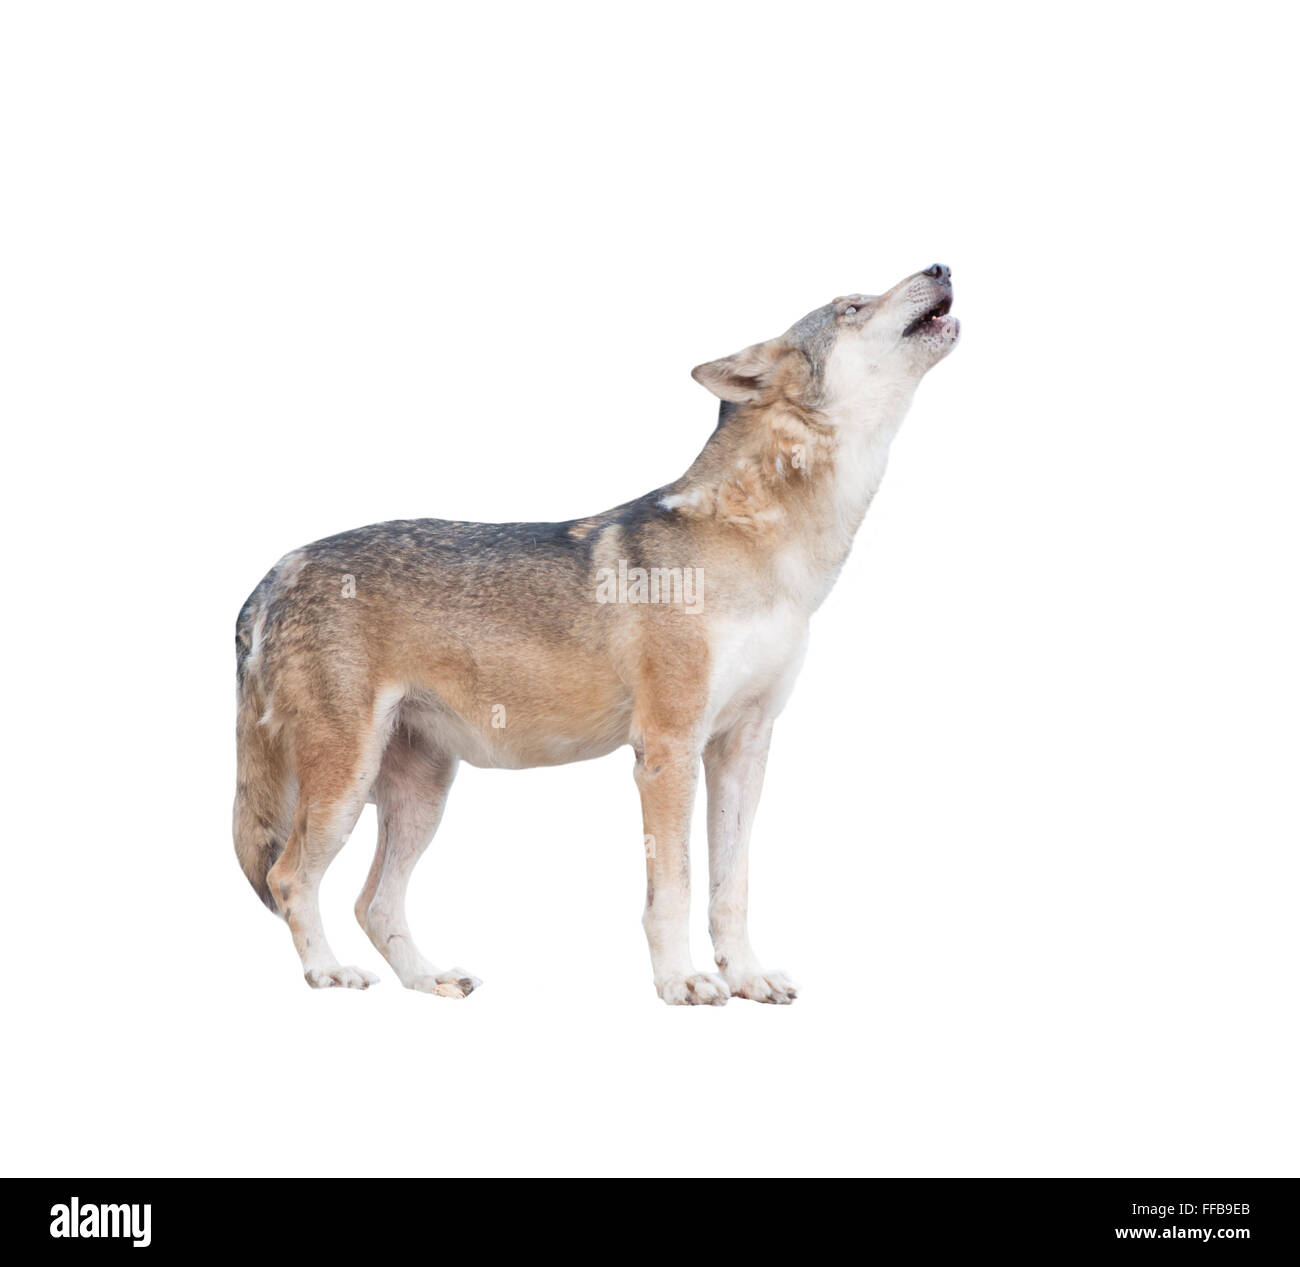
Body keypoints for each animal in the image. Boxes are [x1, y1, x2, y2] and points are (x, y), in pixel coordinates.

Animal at [234, 264, 959, 1004]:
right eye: (850, 308)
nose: (940, 267)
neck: (774, 553)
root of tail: (276, 570)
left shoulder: (745, 747)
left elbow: (732, 887)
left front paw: (747, 977)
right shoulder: (667, 748)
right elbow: (674, 887)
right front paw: (682, 981)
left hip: (422, 793)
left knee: (373, 902)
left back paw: (429, 979)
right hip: (345, 786)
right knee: (290, 878)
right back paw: (328, 971)